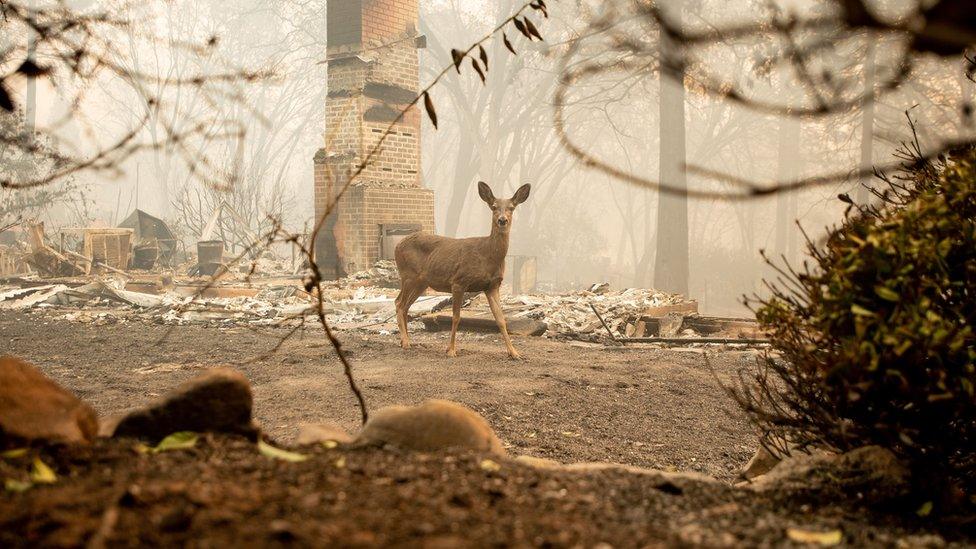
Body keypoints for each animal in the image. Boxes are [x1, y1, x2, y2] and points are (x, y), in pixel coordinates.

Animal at [392, 181, 528, 360]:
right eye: (493, 206)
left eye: (511, 207)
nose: (502, 220)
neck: (488, 256)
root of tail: (397, 245)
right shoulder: (459, 281)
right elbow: (456, 317)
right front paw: (451, 350)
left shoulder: (492, 286)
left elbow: (500, 319)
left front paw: (514, 353)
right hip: (408, 275)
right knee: (399, 303)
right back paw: (406, 342)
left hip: (422, 282)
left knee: (405, 305)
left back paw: (406, 341)